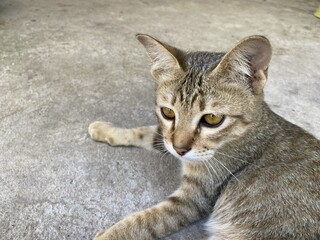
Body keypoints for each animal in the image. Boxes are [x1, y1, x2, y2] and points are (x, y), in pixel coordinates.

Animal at [88, 34, 320, 240]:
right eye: (168, 112)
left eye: (212, 118)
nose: (180, 149)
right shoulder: (167, 139)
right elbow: (148, 132)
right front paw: (106, 130)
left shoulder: (193, 199)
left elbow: (141, 223)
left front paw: (107, 235)